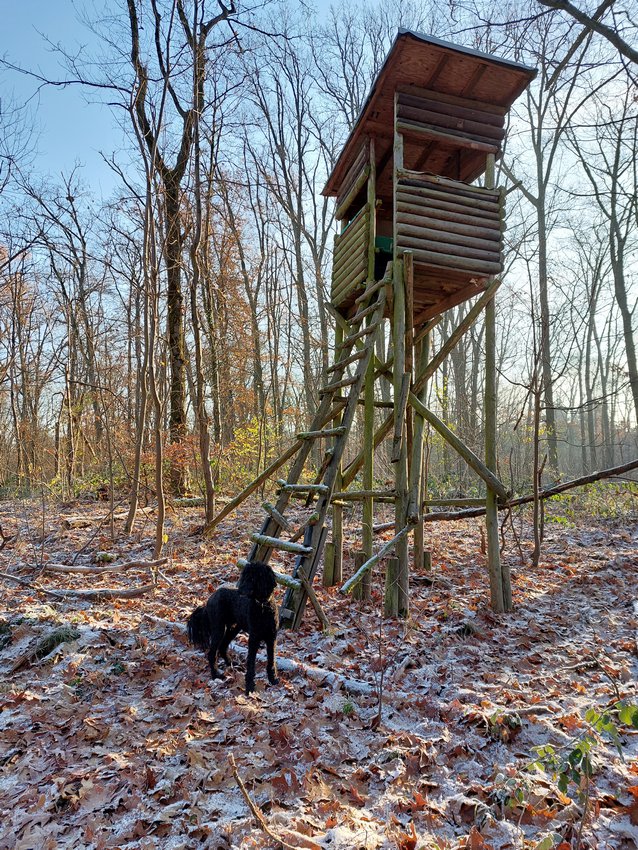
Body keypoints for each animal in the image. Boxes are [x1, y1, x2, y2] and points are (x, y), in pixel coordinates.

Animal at [189, 560, 282, 692]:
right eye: (244, 576)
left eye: (253, 578)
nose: (239, 591)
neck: (262, 607)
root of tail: (210, 599)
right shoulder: (254, 638)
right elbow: (251, 663)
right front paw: (249, 687)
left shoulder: (272, 637)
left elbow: (271, 660)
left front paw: (273, 679)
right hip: (219, 629)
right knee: (212, 653)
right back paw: (216, 675)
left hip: (234, 627)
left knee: (223, 647)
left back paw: (232, 664)